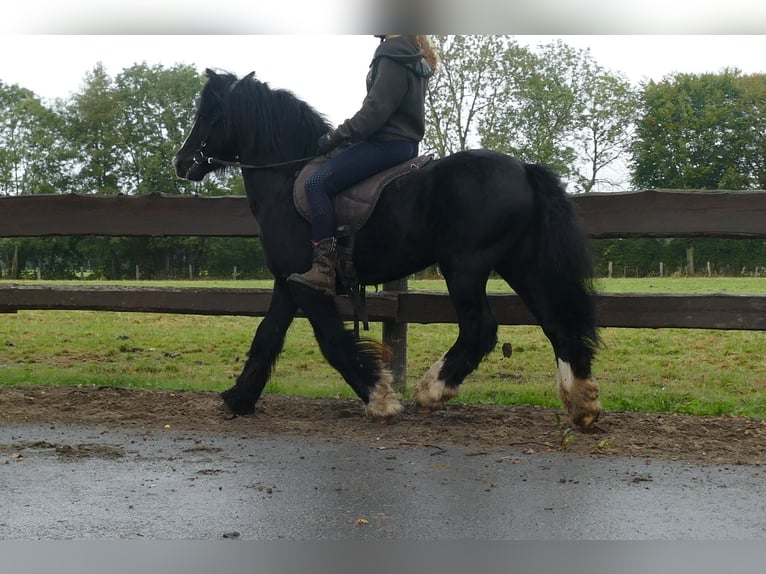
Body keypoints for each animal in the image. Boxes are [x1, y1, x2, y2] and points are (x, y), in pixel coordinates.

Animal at [174, 70, 608, 430]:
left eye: (209, 114)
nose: (182, 161)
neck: (288, 178)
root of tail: (524, 169)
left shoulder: (306, 285)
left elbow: (331, 341)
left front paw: (380, 399)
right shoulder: (287, 281)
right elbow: (267, 336)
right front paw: (238, 398)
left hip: (465, 267)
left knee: (480, 329)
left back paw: (431, 392)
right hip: (520, 264)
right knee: (556, 322)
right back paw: (582, 404)